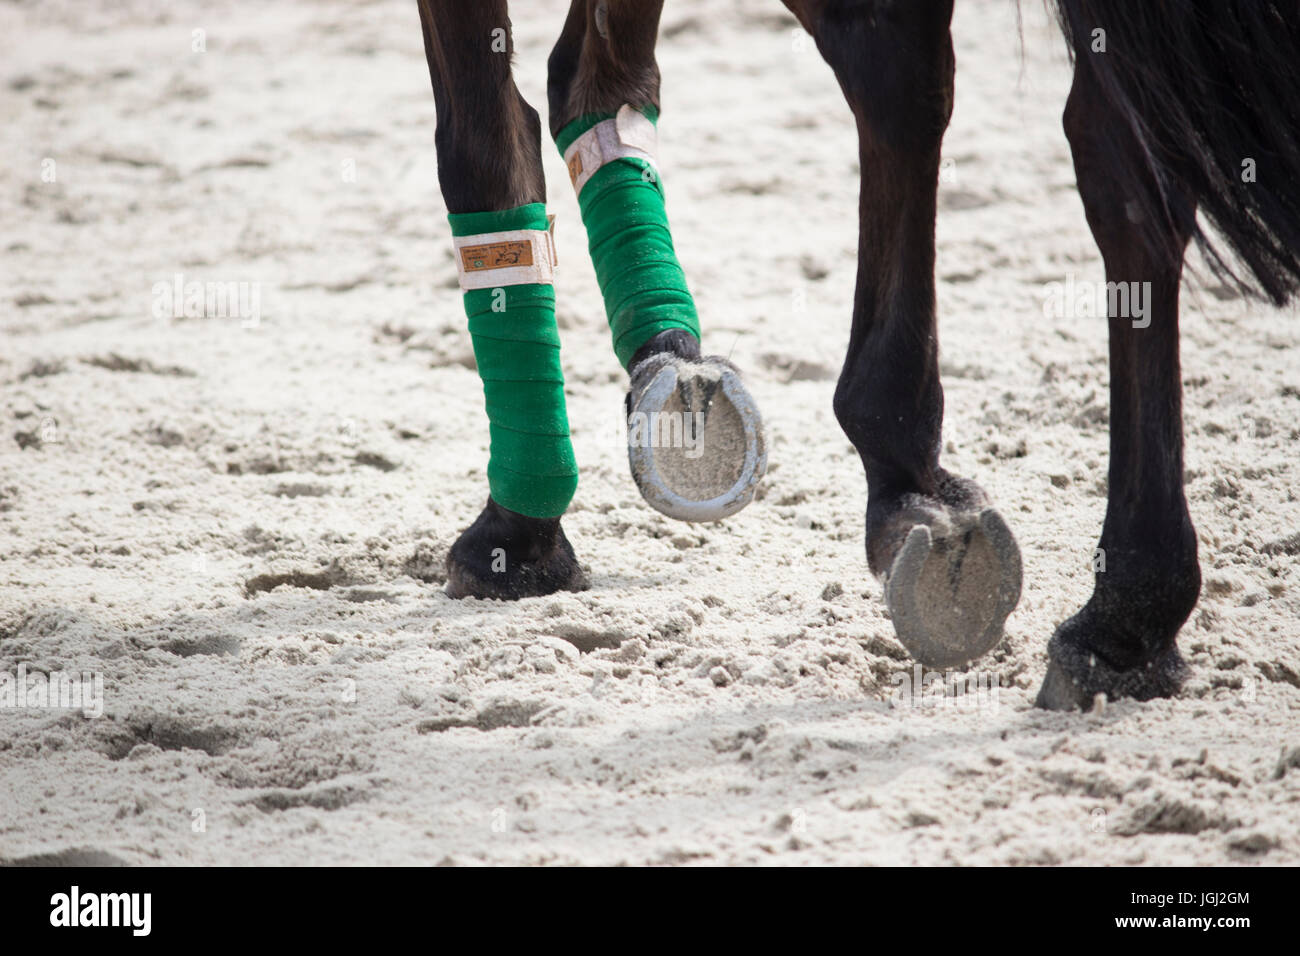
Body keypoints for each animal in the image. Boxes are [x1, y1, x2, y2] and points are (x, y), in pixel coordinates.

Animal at [413, 0, 1300, 712]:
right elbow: (593, 86)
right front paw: (665, 361)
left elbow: (486, 144)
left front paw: (517, 534)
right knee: (1105, 150)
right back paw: (1118, 612)